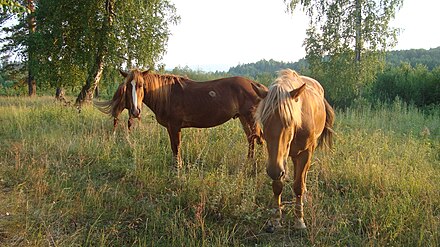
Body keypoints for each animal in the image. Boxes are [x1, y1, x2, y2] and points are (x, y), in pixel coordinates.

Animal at [99, 68, 268, 167]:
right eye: (128, 86)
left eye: (141, 85)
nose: (135, 111)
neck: (166, 95)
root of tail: (257, 86)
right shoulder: (170, 128)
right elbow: (173, 147)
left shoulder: (175, 126)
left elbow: (177, 146)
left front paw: (178, 168)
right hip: (243, 118)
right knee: (252, 139)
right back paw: (249, 162)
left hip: (250, 118)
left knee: (259, 138)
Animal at [251, 68, 334, 233]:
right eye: (264, 121)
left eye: (289, 122)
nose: (274, 171)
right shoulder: (276, 160)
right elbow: (277, 186)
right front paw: (276, 219)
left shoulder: (304, 153)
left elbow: (298, 186)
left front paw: (299, 220)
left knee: (303, 175)